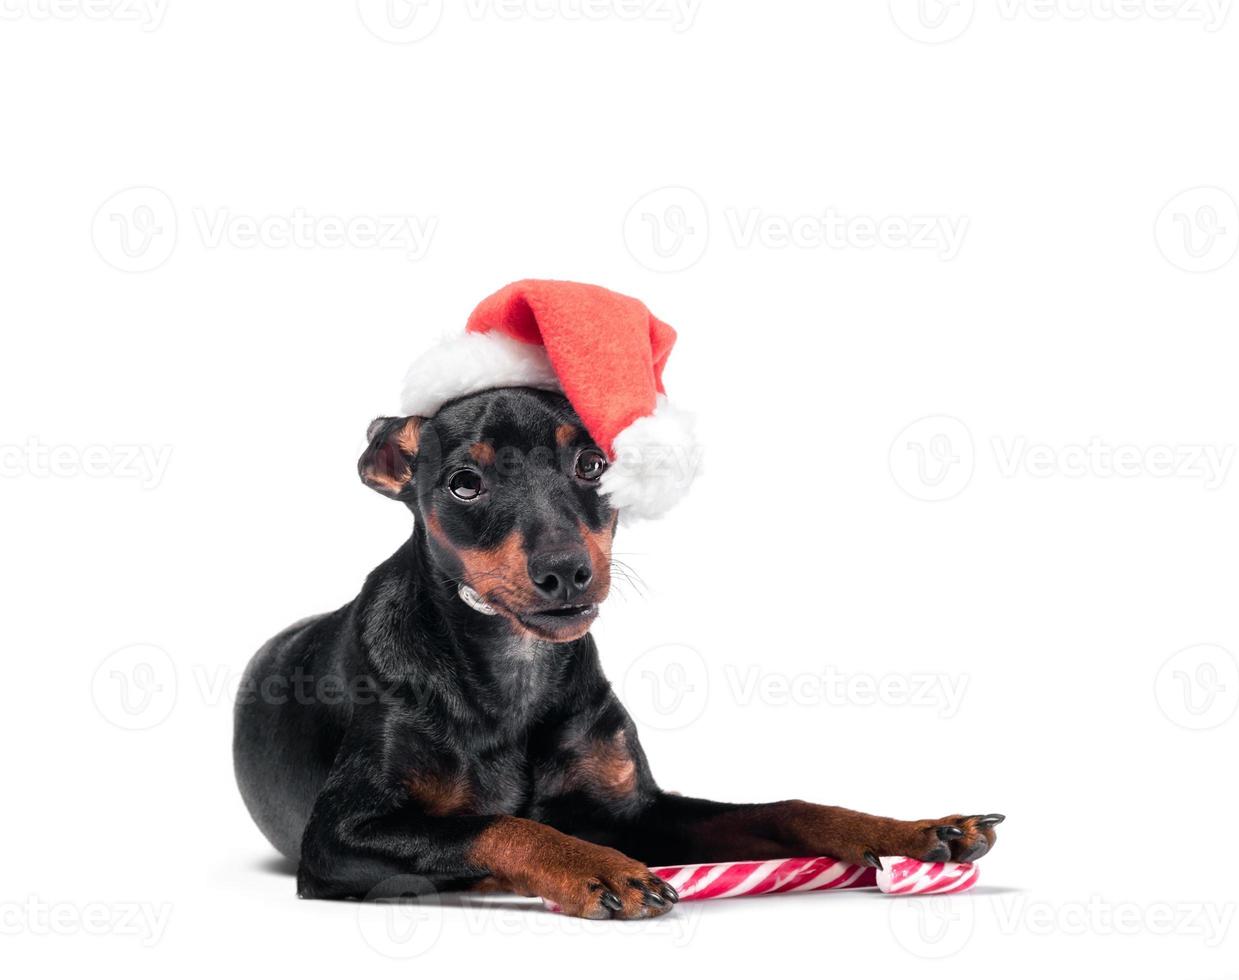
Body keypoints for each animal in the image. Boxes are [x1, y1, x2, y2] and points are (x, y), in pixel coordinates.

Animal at [232, 384, 1001, 921]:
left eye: (592, 464)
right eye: (463, 483)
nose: (566, 571)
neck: (514, 669)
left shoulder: (641, 814)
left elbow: (783, 807)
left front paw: (907, 829)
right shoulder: (337, 839)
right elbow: (495, 825)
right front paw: (594, 867)